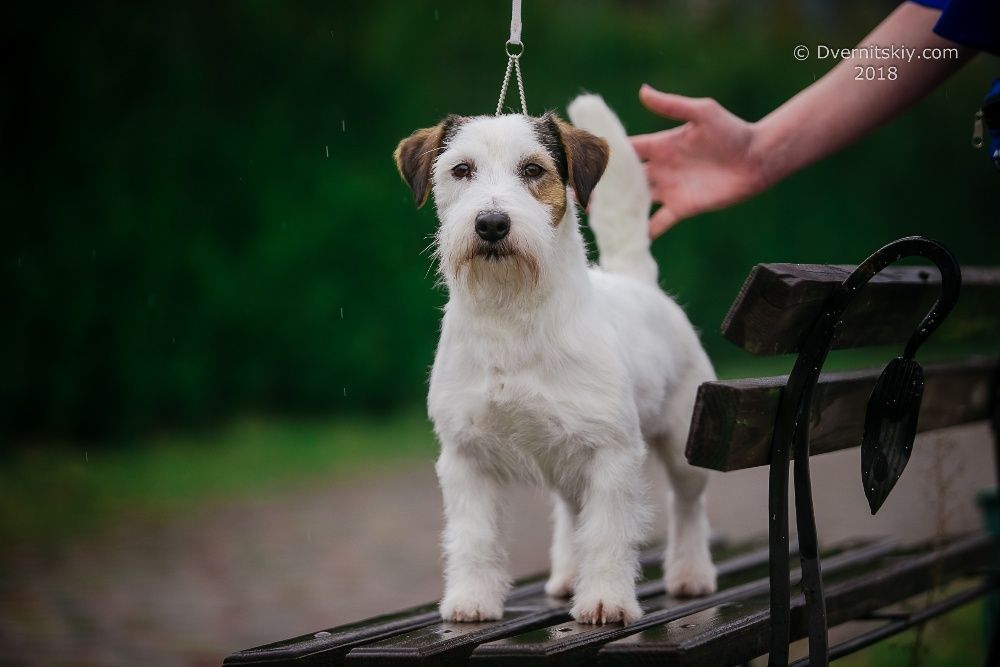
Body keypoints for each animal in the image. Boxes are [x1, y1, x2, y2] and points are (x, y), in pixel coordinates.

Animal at [394, 95, 716, 628]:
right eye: (461, 170)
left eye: (533, 169)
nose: (492, 223)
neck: (511, 315)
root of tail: (638, 282)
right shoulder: (464, 458)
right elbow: (473, 536)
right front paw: (471, 599)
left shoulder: (610, 453)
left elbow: (607, 534)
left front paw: (605, 600)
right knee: (570, 511)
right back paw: (567, 574)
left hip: (684, 441)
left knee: (687, 504)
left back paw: (691, 573)